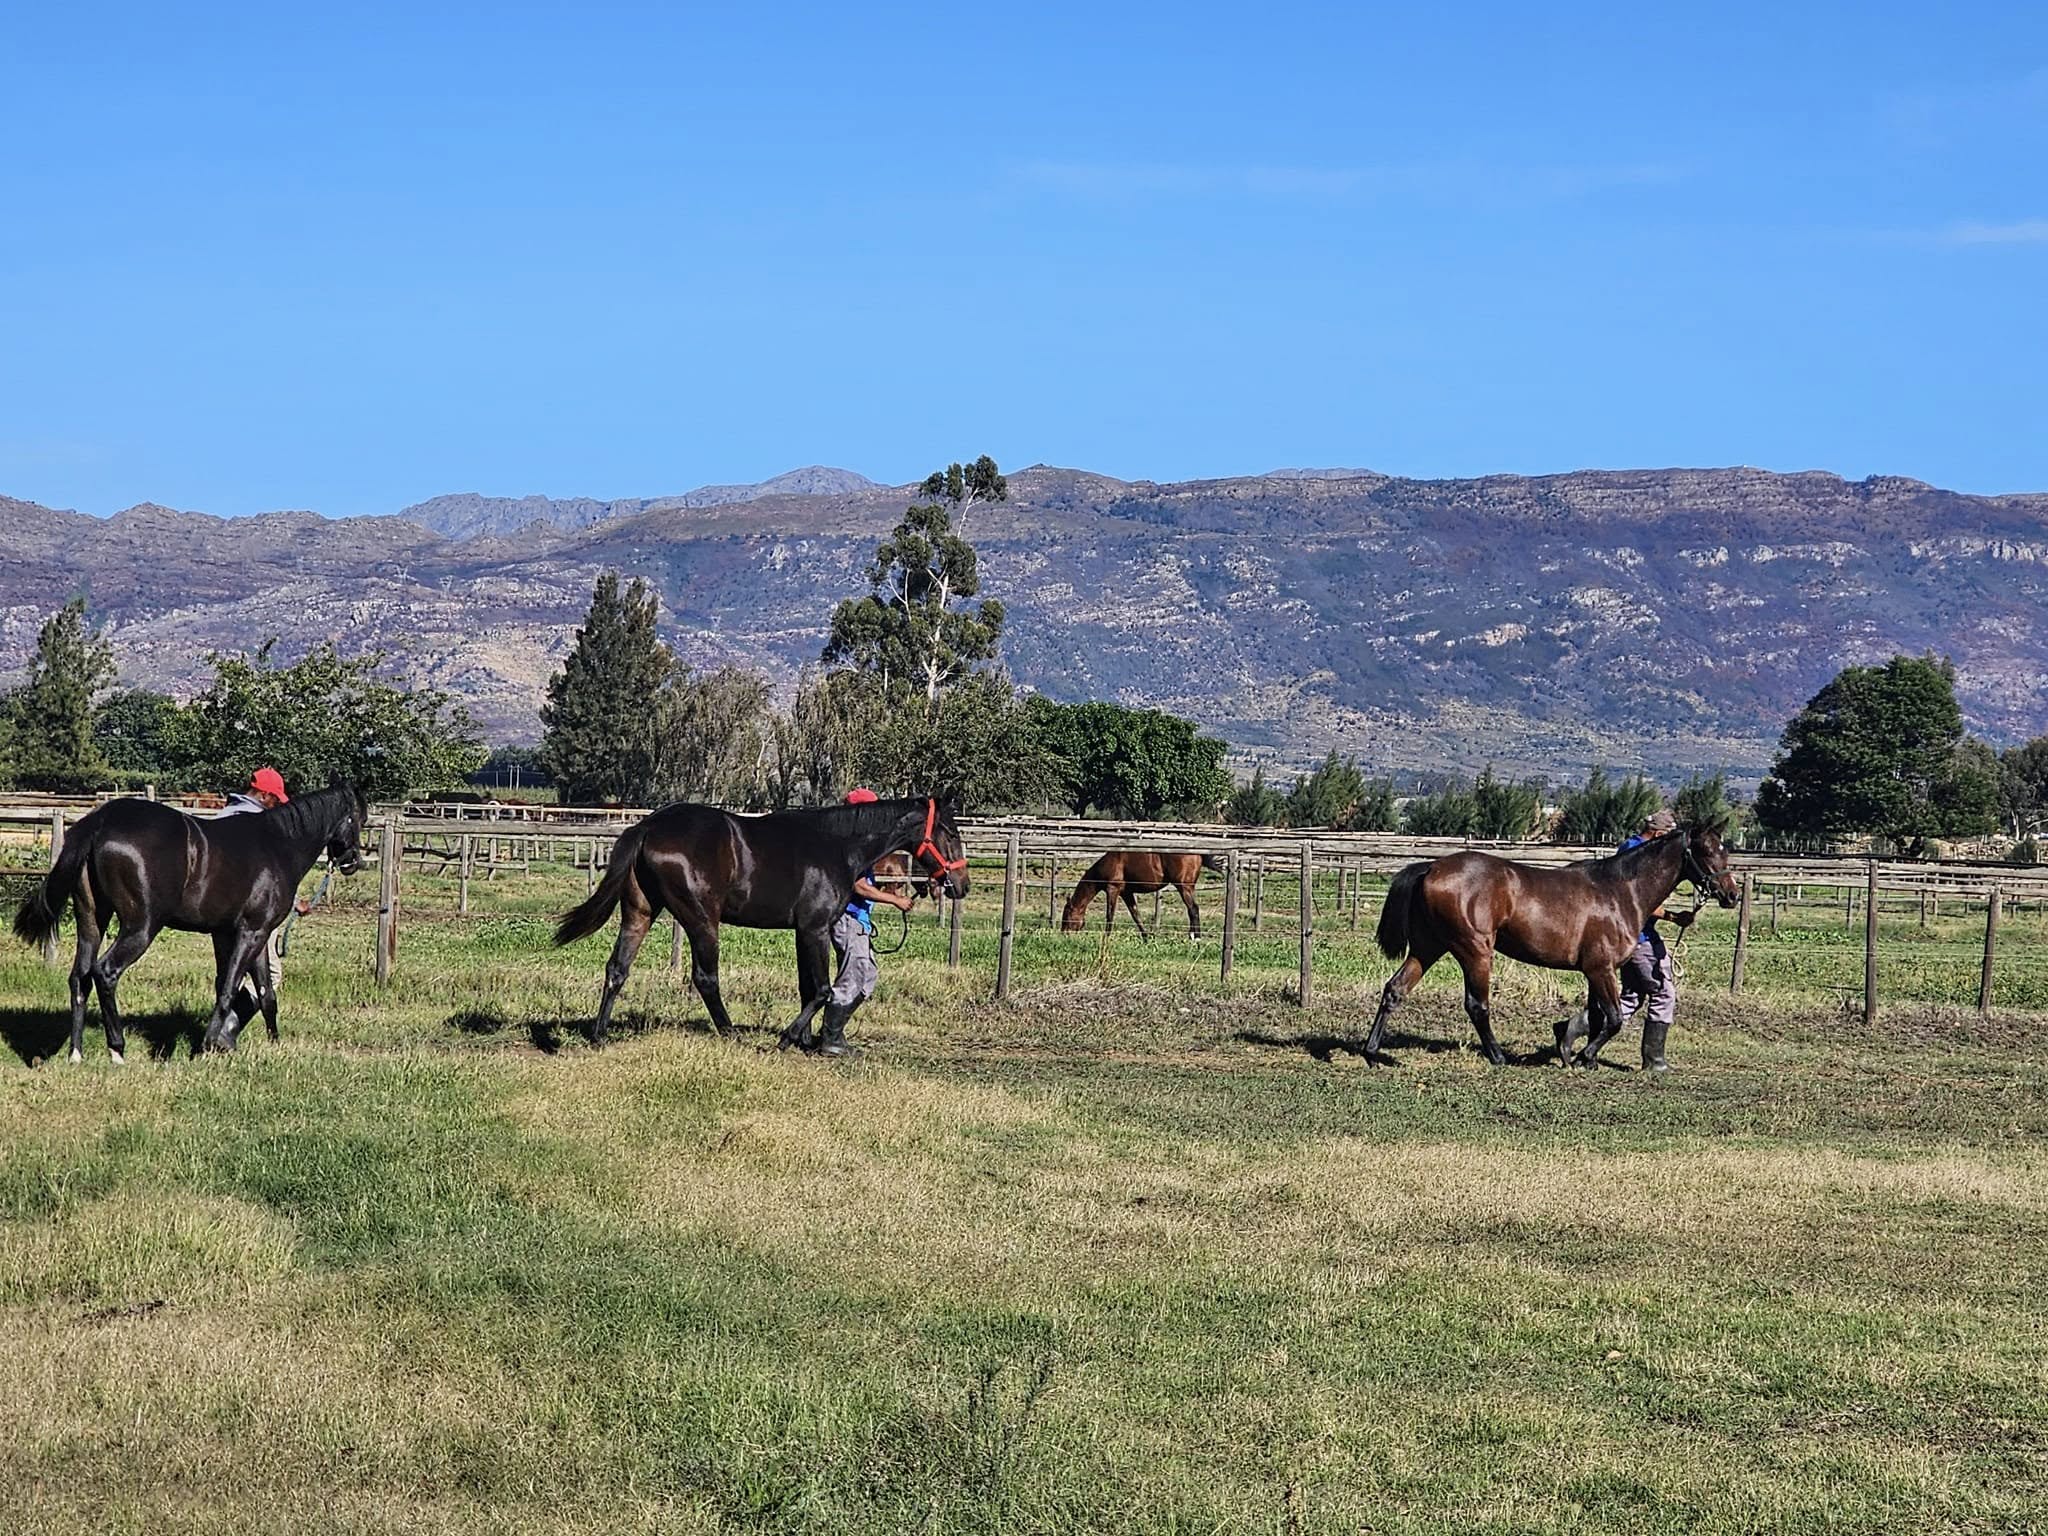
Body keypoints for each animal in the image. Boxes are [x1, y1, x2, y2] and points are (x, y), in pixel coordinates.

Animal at [8, 786, 366, 1064]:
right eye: (358, 818)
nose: (353, 862)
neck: (278, 846)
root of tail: (102, 821)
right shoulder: (251, 933)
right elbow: (228, 989)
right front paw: (206, 1047)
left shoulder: (247, 935)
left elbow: (264, 993)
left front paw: (271, 1044)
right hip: (141, 927)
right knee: (105, 973)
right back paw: (117, 1049)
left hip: (92, 921)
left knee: (79, 978)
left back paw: (76, 1053)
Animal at [552, 798, 966, 1056]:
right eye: (952, 832)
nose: (961, 885)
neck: (837, 846)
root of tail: (649, 828)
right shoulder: (814, 928)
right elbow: (823, 989)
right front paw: (786, 1040)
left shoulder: (802, 932)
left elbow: (807, 987)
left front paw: (806, 1041)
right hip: (701, 920)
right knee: (705, 978)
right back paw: (730, 1033)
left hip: (639, 912)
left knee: (617, 969)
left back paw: (600, 1036)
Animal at [1056, 856, 1212, 937]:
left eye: (1067, 915)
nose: (1064, 934)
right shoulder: (1126, 893)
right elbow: (1136, 915)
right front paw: (1146, 938)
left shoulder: (1113, 889)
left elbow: (1110, 915)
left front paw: (1107, 936)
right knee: (1192, 911)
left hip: (1184, 887)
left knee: (1193, 910)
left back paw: (1196, 939)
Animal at [1368, 831, 1736, 1073]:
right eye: (1706, 850)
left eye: (1725, 849)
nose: (1731, 895)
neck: (1620, 892)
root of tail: (1431, 868)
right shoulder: (1601, 968)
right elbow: (1615, 1018)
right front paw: (1583, 1057)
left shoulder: (1593, 971)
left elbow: (1598, 1016)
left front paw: (1575, 1051)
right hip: (1475, 951)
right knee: (1477, 1005)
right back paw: (1499, 1057)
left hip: (1427, 948)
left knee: (1394, 990)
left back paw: (1372, 1053)